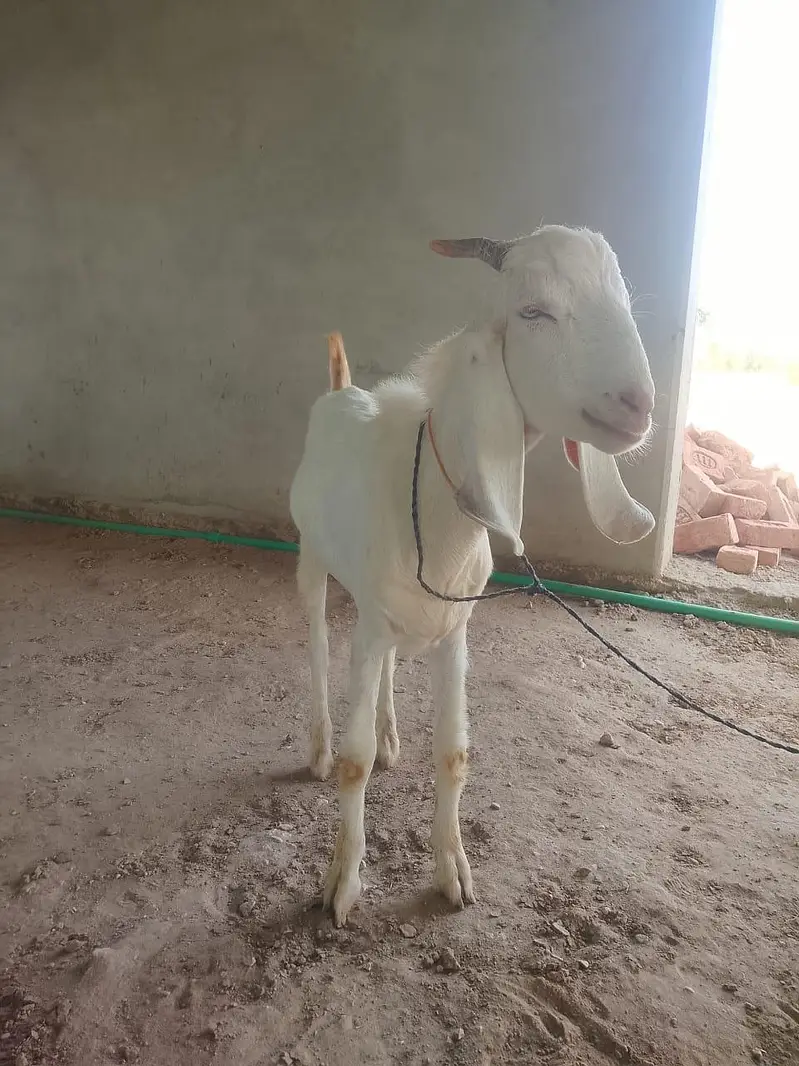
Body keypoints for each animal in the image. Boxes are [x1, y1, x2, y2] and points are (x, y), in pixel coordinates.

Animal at [290, 226, 656, 925]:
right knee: (318, 647)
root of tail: (340, 390)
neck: (432, 509)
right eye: (533, 311)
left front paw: (452, 874)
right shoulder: (369, 625)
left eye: (624, 300)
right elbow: (354, 765)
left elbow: (454, 752)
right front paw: (341, 884)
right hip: (311, 559)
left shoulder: (454, 628)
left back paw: (392, 735)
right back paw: (317, 749)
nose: (639, 405)